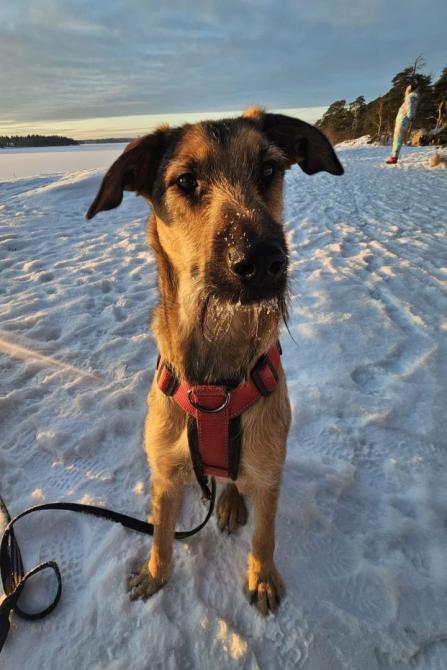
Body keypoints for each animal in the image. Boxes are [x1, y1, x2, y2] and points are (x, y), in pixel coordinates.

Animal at [86, 107, 343, 615]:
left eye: (269, 169)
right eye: (185, 180)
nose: (263, 261)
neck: (214, 381)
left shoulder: (269, 473)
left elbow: (264, 536)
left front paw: (262, 578)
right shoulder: (165, 473)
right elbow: (161, 535)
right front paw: (154, 575)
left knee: (232, 482)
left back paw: (228, 502)